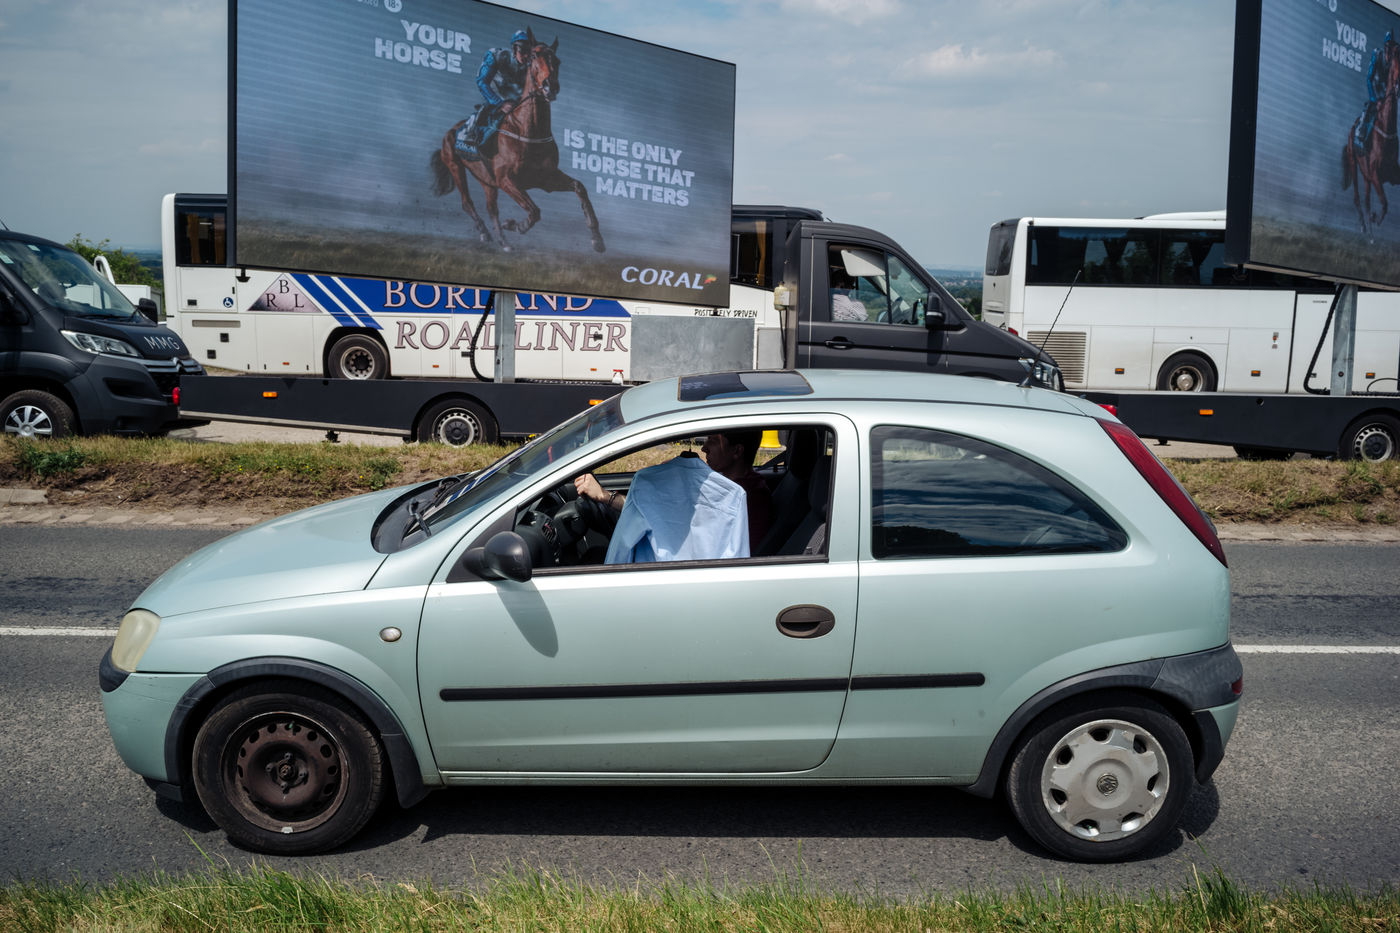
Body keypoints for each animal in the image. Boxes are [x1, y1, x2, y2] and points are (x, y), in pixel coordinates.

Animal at [430, 31, 605, 254]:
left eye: (557, 60)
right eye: (533, 57)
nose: (550, 86)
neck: (528, 131)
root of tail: (451, 131)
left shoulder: (545, 178)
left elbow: (579, 188)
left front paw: (597, 239)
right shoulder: (506, 180)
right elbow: (534, 211)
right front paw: (515, 225)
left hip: (487, 180)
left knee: (491, 208)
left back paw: (504, 242)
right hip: (455, 166)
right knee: (467, 203)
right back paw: (485, 233)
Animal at [1343, 41, 1400, 232]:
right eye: (1394, 64)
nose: (1398, 86)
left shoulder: (1391, 173)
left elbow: (1383, 203)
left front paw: (1375, 218)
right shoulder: (1376, 174)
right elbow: (1384, 203)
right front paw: (1376, 218)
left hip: (1365, 174)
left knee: (1367, 199)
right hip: (1354, 163)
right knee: (1357, 197)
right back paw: (1363, 223)